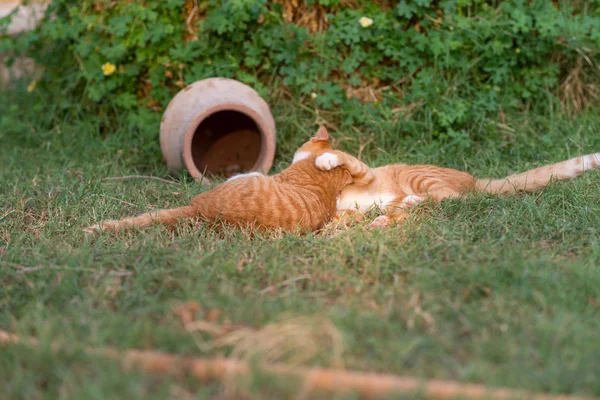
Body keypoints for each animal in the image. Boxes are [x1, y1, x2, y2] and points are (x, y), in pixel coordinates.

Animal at [310, 148, 600, 228]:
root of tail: (474, 179)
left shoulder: (365, 172)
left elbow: (344, 157)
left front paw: (325, 159)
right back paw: (386, 218)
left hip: (419, 177)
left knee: (453, 198)